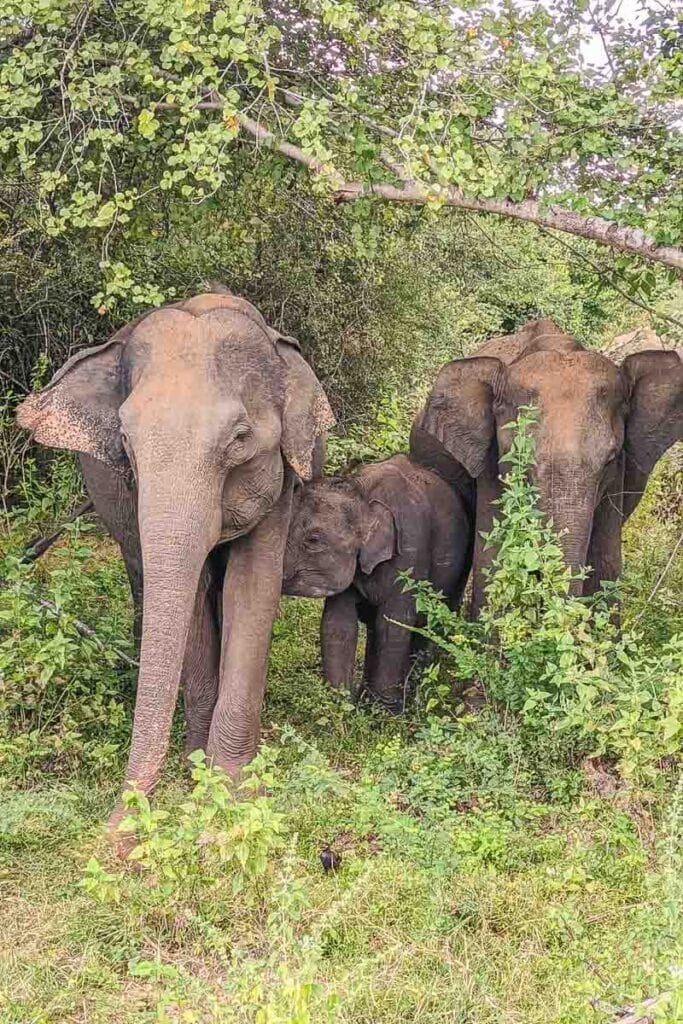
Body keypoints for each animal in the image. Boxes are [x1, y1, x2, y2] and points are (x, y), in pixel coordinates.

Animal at [15, 290, 335, 839]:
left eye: (239, 438)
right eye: (125, 440)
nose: (115, 834)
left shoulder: (283, 485)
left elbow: (251, 589)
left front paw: (234, 791)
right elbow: (190, 598)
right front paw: (198, 770)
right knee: (143, 576)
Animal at [282, 456, 471, 712]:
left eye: (313, 540)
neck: (362, 493)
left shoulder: (411, 549)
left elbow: (395, 623)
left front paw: (385, 712)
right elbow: (338, 624)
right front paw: (341, 707)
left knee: (432, 623)